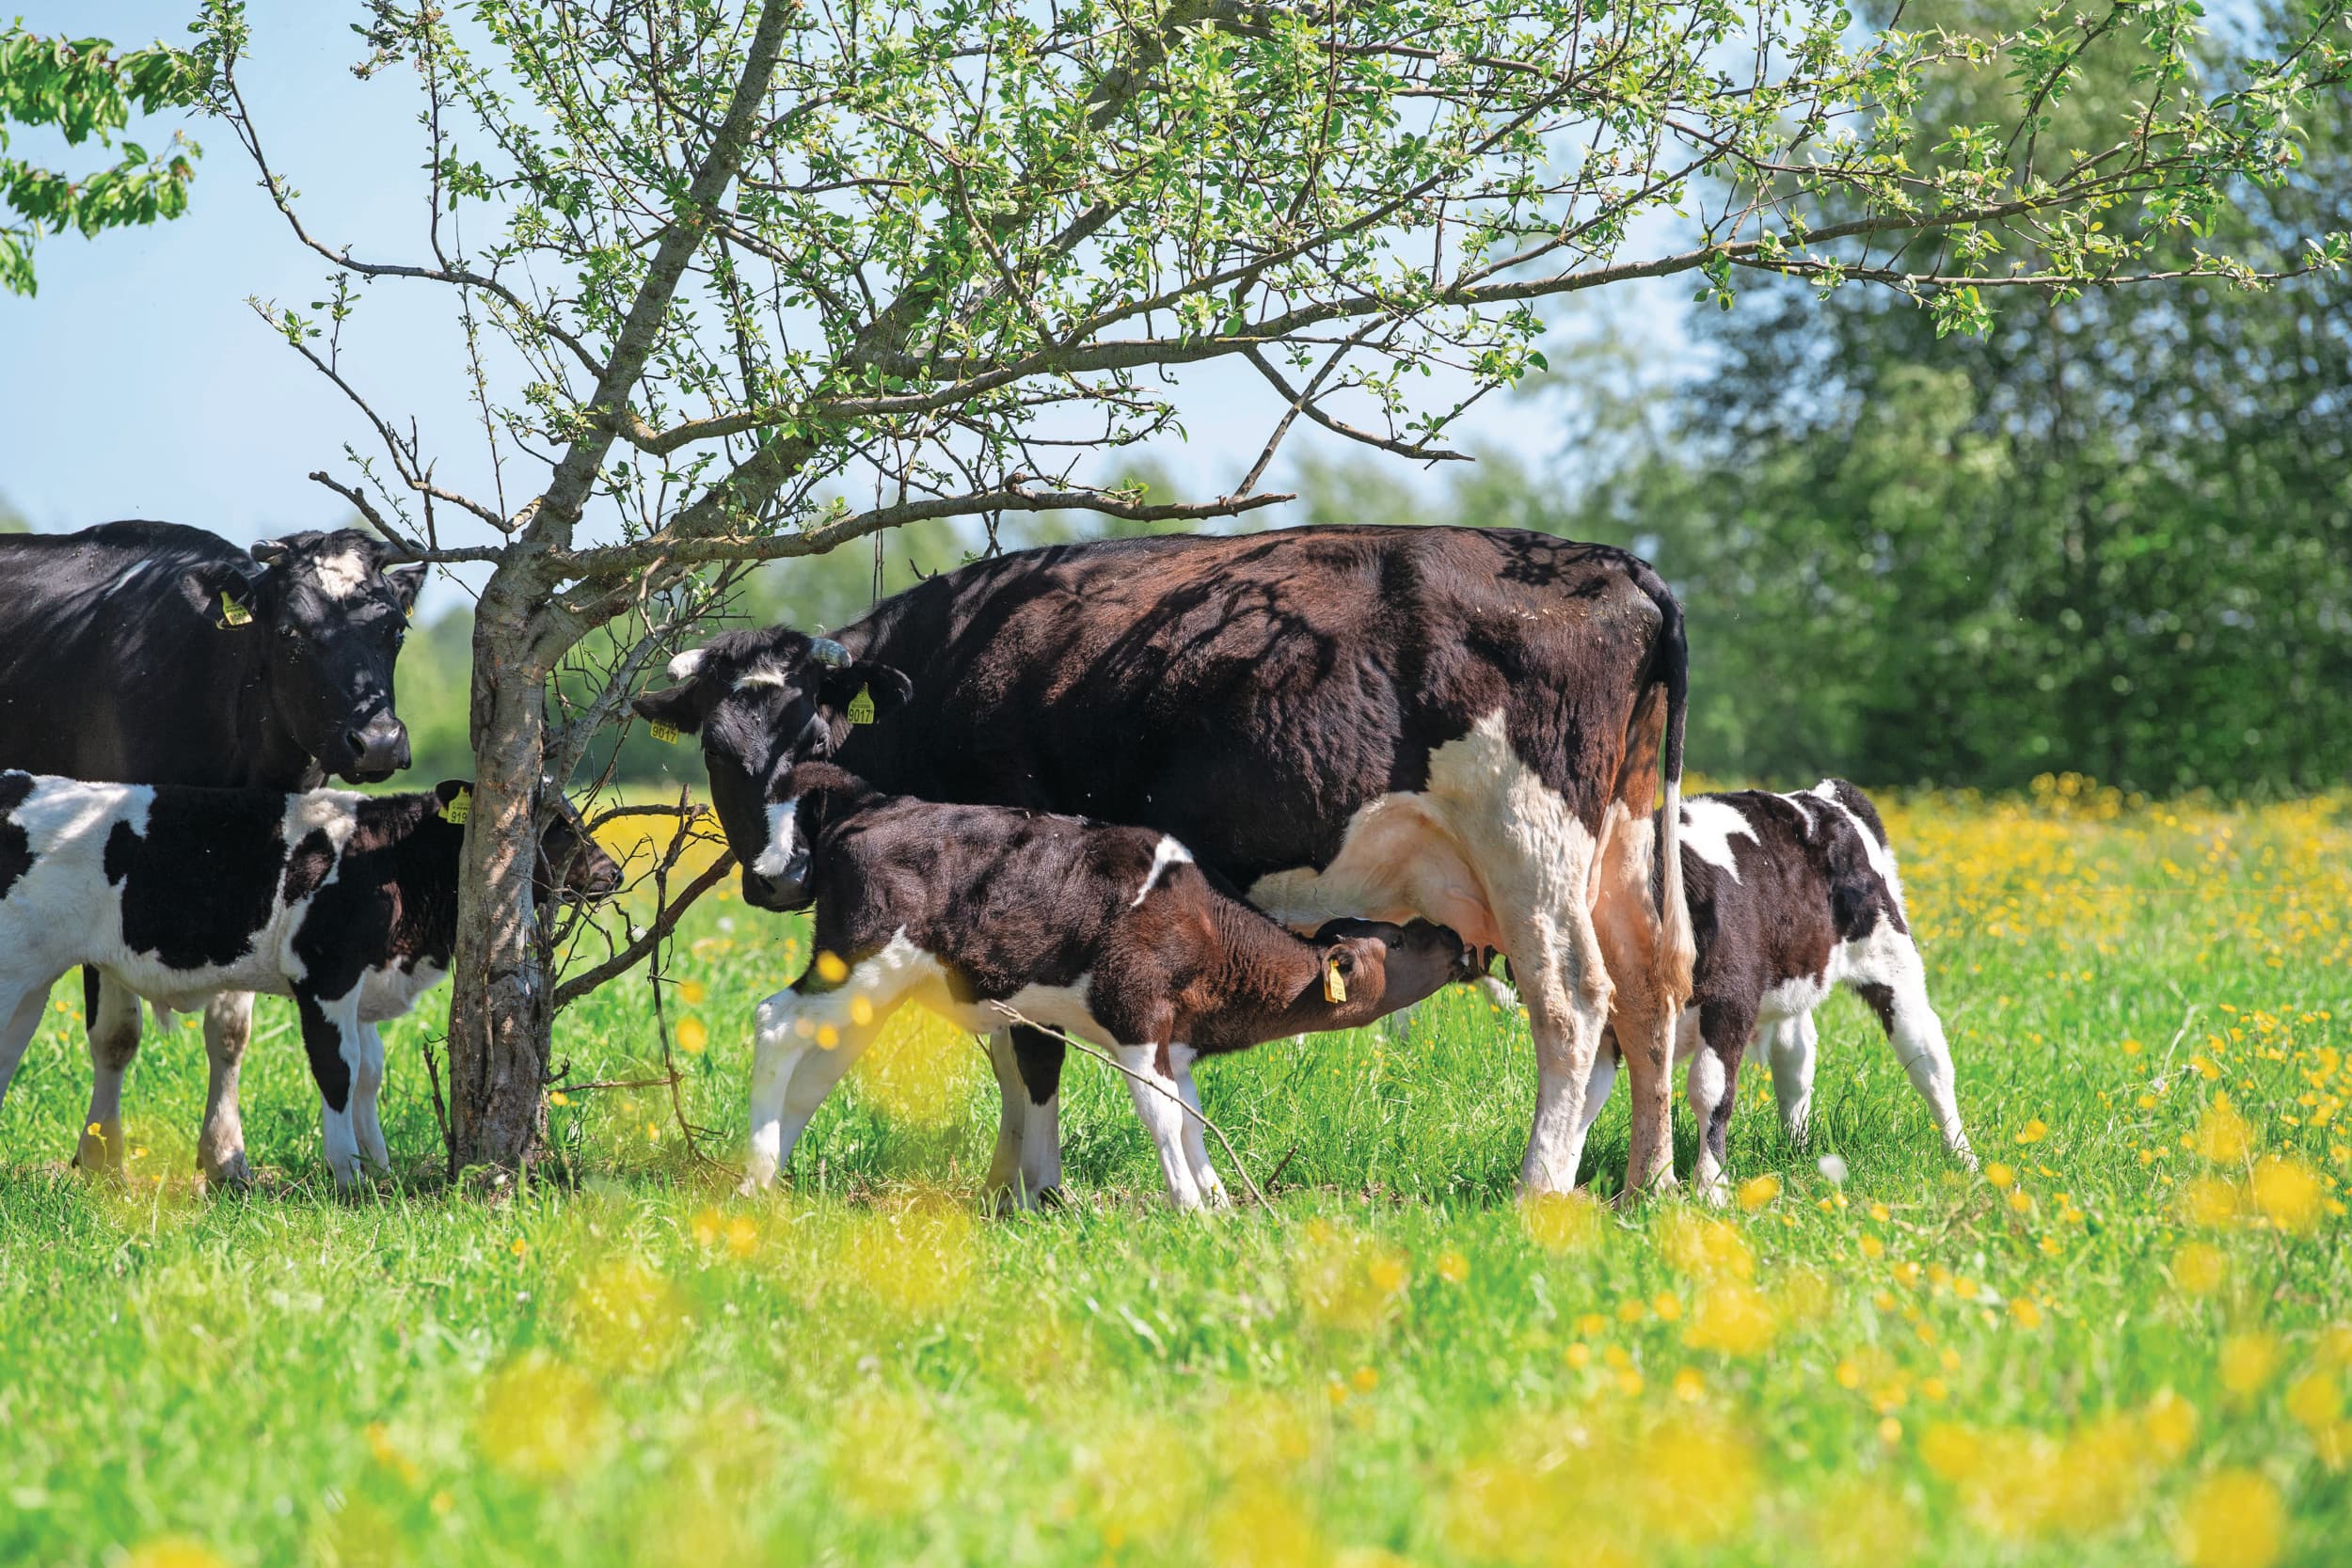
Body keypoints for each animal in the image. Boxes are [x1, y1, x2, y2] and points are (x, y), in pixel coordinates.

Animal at [0, 520, 426, 1183]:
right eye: (291, 633)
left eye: (395, 630)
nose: (378, 741)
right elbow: (116, 1033)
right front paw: (100, 1159)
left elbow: (230, 1028)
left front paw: (226, 1157)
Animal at [0, 772, 620, 1186]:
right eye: (551, 825)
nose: (612, 872)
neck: (391, 861)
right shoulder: (325, 974)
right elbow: (337, 1070)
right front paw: (348, 1174)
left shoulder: (363, 982)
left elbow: (369, 1073)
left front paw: (380, 1167)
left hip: (32, 981)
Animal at [739, 761, 1474, 1206]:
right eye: (1398, 941)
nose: (1455, 938)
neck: (1205, 930)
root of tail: (872, 804)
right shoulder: (1136, 1017)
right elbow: (1162, 1113)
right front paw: (1190, 1208)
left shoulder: (1175, 1040)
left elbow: (1192, 1115)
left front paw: (1221, 1203)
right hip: (859, 955)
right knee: (774, 1021)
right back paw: (753, 1176)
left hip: (871, 989)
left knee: (817, 1069)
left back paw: (772, 1179)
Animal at [1584, 780, 1974, 1201]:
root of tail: (1822, 796)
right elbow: (1585, 1094)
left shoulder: (1730, 1002)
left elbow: (1709, 1090)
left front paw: (1711, 1187)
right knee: (1796, 1059)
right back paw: (1796, 1152)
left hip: (1892, 962)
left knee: (1928, 1059)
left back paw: (1962, 1158)